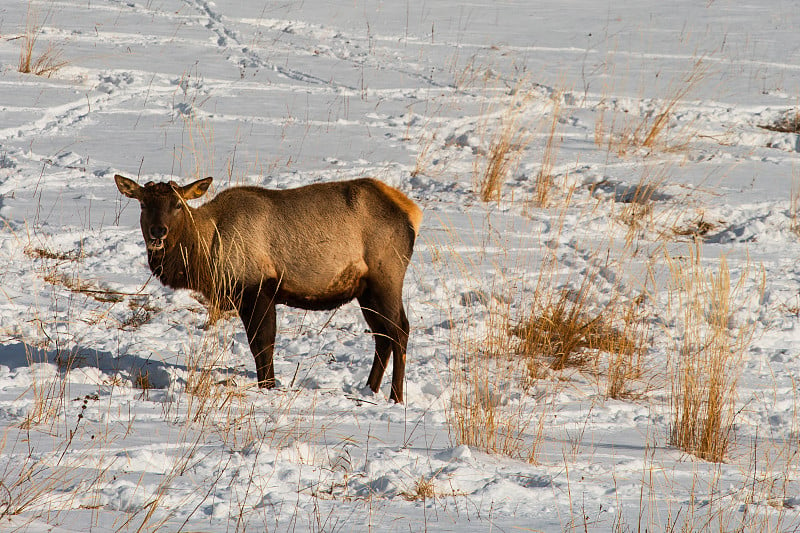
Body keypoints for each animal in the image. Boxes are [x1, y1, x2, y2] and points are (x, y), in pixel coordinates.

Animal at [116, 172, 424, 402]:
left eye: (178, 205)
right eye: (143, 204)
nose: (158, 232)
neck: (205, 253)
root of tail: (412, 213)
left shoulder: (257, 288)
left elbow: (262, 344)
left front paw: (268, 386)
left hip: (386, 277)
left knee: (400, 331)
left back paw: (396, 397)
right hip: (366, 290)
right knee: (382, 336)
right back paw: (369, 389)